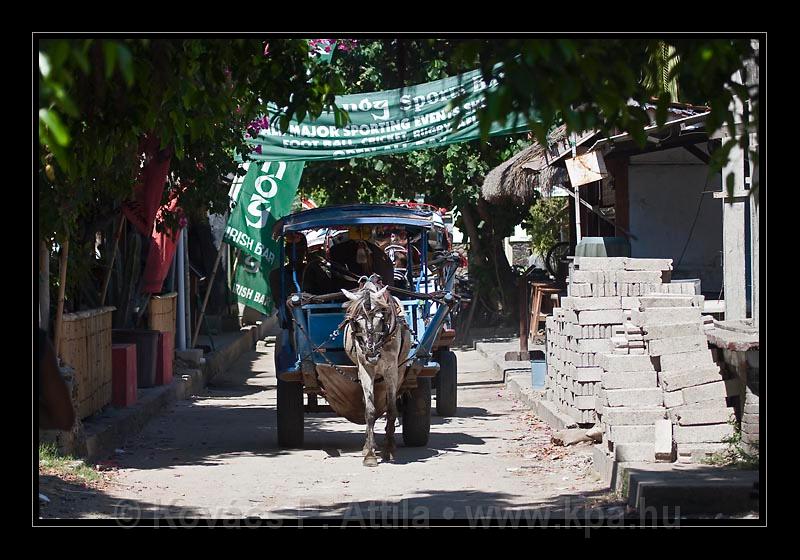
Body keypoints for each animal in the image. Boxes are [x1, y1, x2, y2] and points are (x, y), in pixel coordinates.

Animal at [340, 278, 410, 466]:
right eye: (356, 322)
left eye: (381, 318)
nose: (372, 354)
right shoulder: (365, 368)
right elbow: (369, 410)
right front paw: (370, 454)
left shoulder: (391, 370)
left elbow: (392, 409)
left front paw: (389, 449)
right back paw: (367, 445)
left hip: (399, 370)